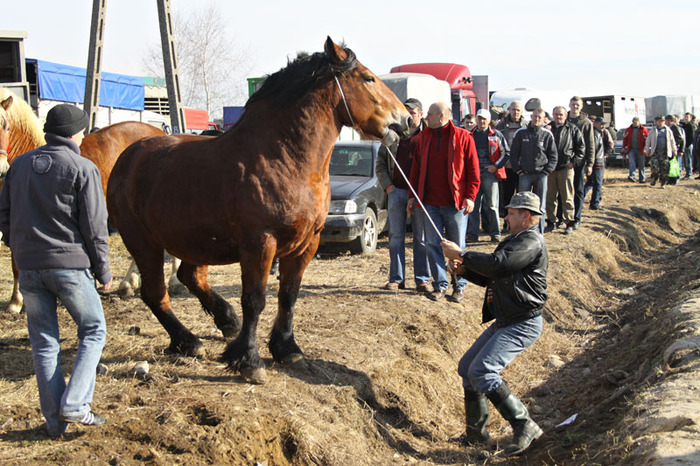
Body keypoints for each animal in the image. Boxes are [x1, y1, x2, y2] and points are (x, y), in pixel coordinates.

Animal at [0, 88, 165, 314]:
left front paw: (16, 301)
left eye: (6, 126)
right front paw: (16, 300)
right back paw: (130, 283)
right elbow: (16, 262)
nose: (1, 167)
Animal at [105, 39, 410, 382]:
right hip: (144, 243)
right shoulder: (260, 244)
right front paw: (249, 360)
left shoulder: (307, 243)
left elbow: (288, 295)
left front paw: (287, 349)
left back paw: (225, 321)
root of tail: (127, 157)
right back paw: (188, 340)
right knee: (155, 293)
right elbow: (255, 300)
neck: (281, 158)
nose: (407, 120)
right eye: (368, 78)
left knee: (189, 276)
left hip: (193, 242)